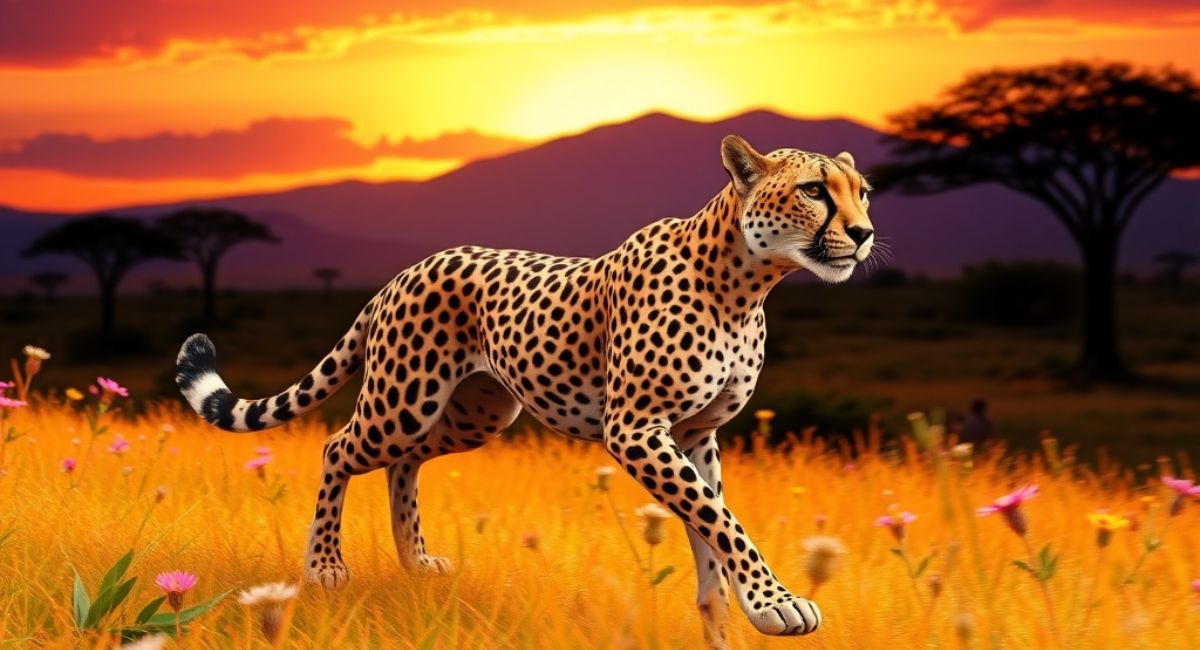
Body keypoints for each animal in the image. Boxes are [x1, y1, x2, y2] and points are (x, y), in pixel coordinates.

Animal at [176, 134, 876, 644]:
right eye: (815, 191)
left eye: (864, 194)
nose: (864, 233)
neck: (745, 282)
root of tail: (404, 272)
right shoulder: (636, 429)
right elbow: (720, 519)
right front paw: (775, 604)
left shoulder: (696, 433)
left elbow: (708, 525)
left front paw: (721, 618)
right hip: (402, 403)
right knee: (338, 448)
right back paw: (324, 565)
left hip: (473, 415)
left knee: (403, 463)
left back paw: (414, 562)